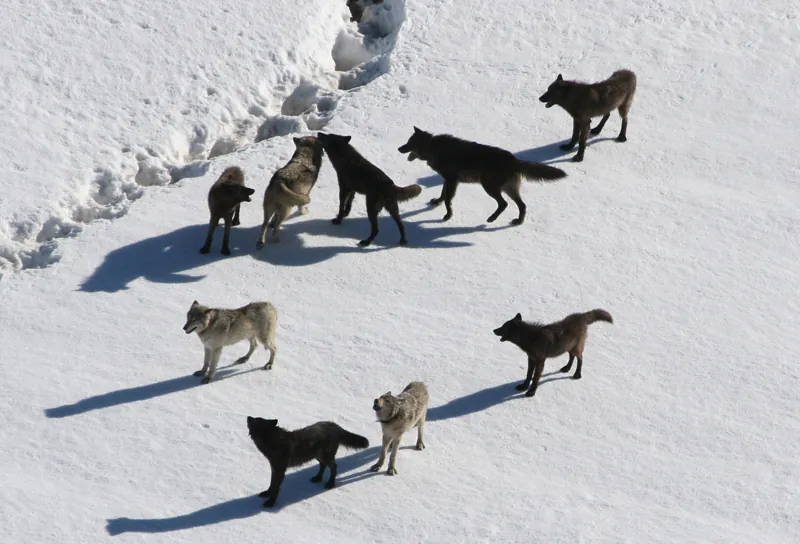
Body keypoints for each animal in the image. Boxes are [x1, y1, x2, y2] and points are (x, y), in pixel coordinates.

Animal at [397, 127, 566, 224]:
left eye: (409, 143)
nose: (399, 148)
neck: (433, 148)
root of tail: (514, 159)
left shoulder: (452, 180)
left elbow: (448, 199)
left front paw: (448, 215)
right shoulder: (448, 180)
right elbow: (443, 195)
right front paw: (436, 202)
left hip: (489, 187)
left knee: (504, 204)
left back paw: (492, 219)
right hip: (508, 189)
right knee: (522, 205)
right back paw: (518, 221)